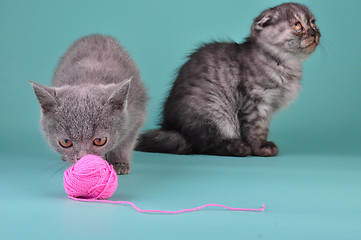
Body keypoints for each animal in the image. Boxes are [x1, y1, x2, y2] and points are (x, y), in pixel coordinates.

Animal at [31, 34, 146, 173]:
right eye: (65, 142)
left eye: (100, 140)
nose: (82, 157)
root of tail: (97, 35)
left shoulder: (136, 116)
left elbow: (125, 143)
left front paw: (119, 163)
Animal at [136, 3, 320, 158]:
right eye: (297, 26)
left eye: (314, 24)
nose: (315, 33)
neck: (285, 64)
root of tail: (174, 129)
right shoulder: (254, 103)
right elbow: (256, 130)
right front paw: (260, 148)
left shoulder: (266, 108)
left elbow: (263, 128)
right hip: (214, 112)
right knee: (204, 145)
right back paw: (237, 147)